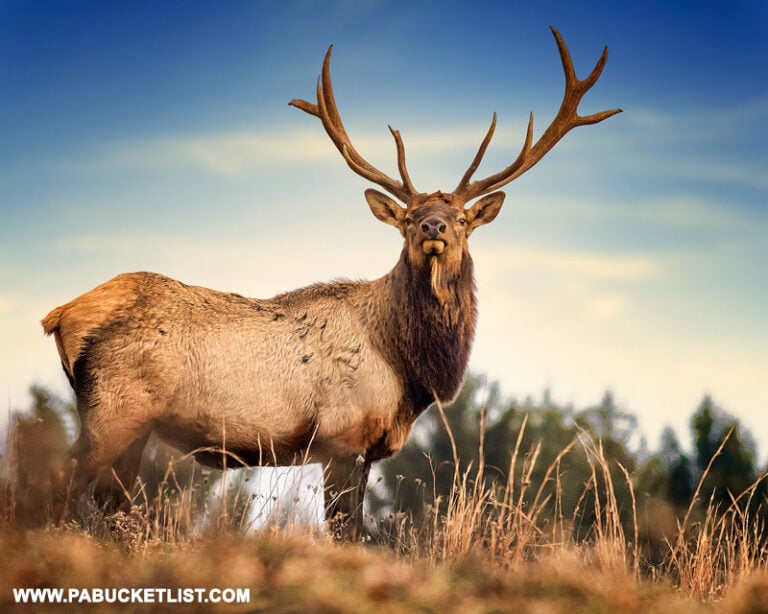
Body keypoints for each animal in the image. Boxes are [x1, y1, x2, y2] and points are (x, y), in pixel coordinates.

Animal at [42, 27, 620, 540]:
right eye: (409, 217)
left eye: (460, 219)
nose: (432, 227)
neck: (407, 366)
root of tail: (61, 315)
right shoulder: (343, 436)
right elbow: (346, 532)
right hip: (113, 408)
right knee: (62, 479)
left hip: (131, 425)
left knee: (111, 500)